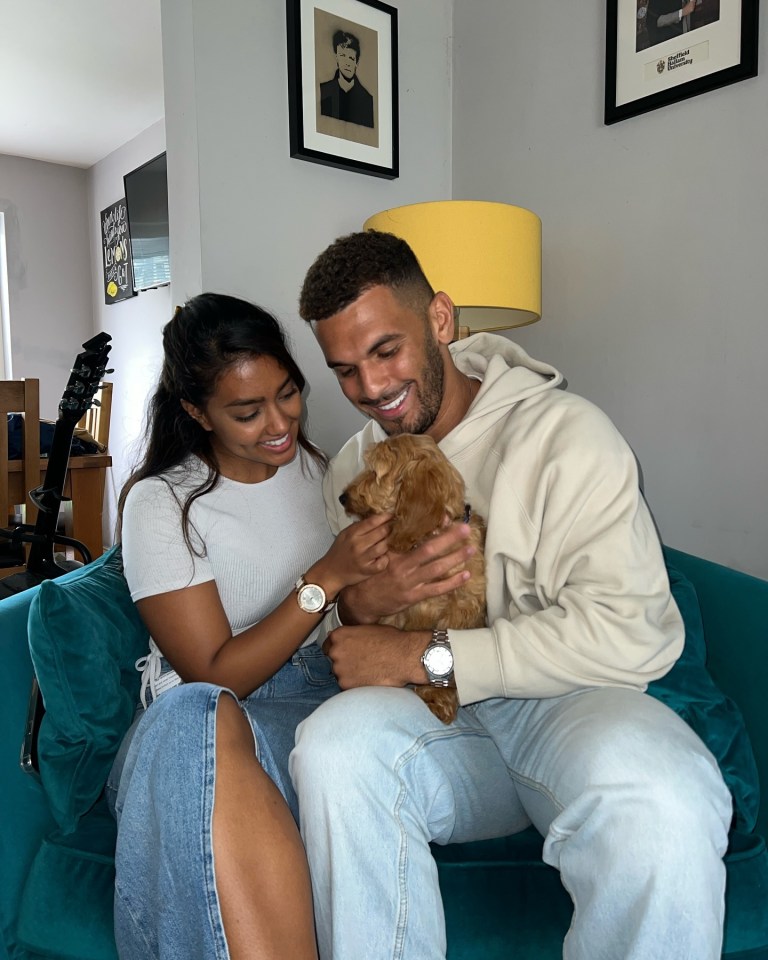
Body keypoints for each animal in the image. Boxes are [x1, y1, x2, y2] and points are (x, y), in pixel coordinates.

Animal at [342, 432, 486, 724]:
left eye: (374, 471)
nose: (342, 497)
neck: (427, 539)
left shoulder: (462, 606)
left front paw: (438, 696)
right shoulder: (397, 612)